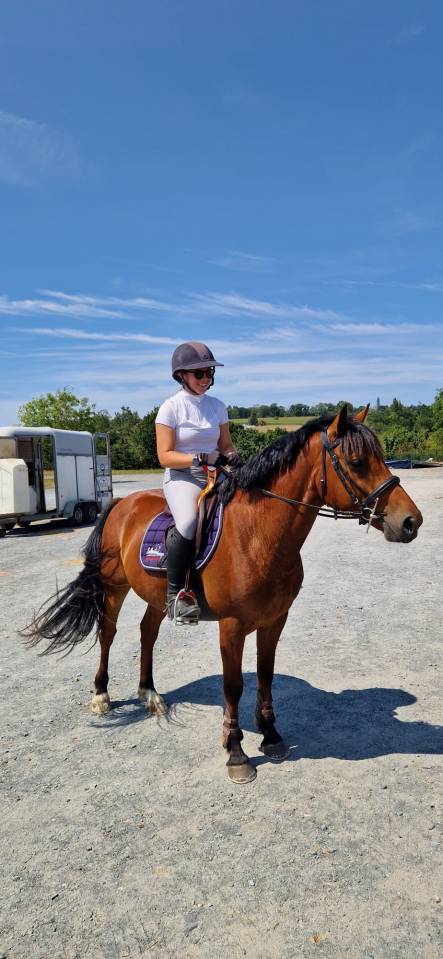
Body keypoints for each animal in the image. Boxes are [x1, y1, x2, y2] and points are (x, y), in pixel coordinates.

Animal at [24, 405, 422, 784]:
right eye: (357, 461)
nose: (411, 522)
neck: (259, 534)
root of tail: (122, 503)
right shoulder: (232, 626)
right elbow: (233, 687)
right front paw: (236, 753)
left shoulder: (274, 620)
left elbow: (265, 675)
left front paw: (271, 736)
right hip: (114, 587)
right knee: (108, 633)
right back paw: (101, 696)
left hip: (156, 595)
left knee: (147, 633)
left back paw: (150, 694)